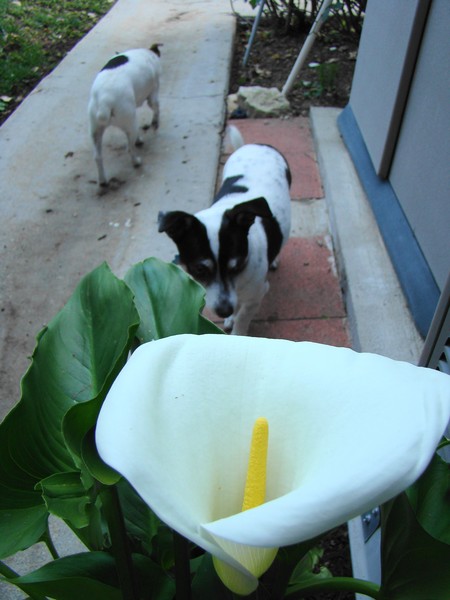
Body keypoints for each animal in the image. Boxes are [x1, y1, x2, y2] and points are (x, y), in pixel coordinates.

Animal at [88, 44, 162, 188]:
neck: (146, 54)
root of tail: (104, 100)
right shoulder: (153, 94)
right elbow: (156, 109)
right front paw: (155, 123)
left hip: (96, 130)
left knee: (97, 157)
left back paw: (102, 180)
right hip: (128, 119)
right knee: (130, 148)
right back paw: (137, 161)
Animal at [159, 127, 292, 336]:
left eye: (236, 266)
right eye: (200, 269)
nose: (224, 311)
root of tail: (255, 145)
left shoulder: (257, 295)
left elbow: (243, 317)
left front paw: (236, 327)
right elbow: (236, 306)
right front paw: (231, 317)